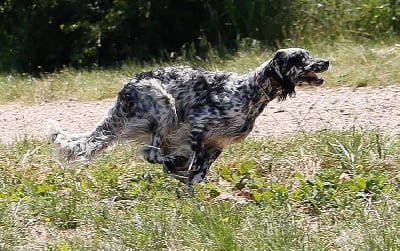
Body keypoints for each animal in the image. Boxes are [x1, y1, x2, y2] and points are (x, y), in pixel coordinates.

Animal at [47, 48, 328, 183]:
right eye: (301, 58)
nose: (326, 62)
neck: (249, 91)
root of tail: (126, 87)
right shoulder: (197, 126)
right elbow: (190, 162)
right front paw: (180, 168)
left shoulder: (216, 144)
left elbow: (198, 175)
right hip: (165, 107)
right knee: (151, 154)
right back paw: (173, 162)